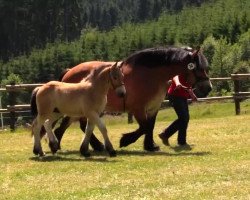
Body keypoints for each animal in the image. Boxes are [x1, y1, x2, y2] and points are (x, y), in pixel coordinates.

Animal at [51, 46, 212, 153]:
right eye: (197, 67)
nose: (208, 87)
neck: (151, 75)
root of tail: (69, 72)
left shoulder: (153, 107)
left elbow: (150, 126)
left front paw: (150, 146)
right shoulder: (138, 108)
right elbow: (144, 127)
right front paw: (126, 140)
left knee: (70, 125)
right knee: (78, 125)